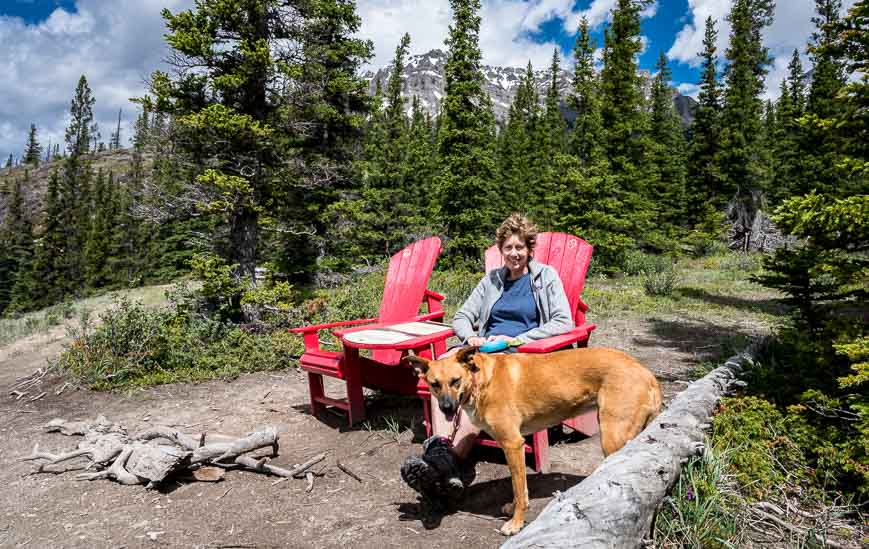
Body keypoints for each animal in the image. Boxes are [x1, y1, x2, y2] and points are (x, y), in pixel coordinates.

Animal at [404, 346, 660, 536]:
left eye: (455, 381)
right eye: (435, 384)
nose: (447, 408)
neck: (481, 381)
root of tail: (648, 374)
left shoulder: (512, 444)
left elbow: (519, 489)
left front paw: (515, 524)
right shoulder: (510, 446)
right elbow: (519, 489)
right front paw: (512, 510)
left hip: (612, 437)